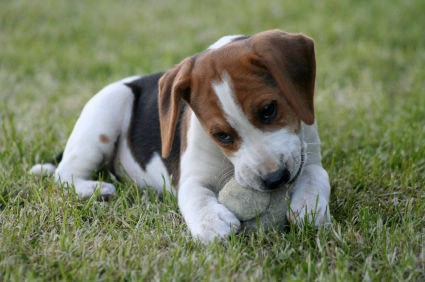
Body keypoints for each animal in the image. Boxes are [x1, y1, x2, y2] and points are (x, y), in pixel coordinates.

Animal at [33, 30, 332, 242]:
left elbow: (316, 174)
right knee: (63, 174)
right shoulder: (191, 177)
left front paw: (310, 206)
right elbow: (195, 195)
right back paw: (96, 189)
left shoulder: (307, 153)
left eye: (269, 110)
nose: (275, 179)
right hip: (105, 112)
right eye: (221, 135)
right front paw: (211, 223)